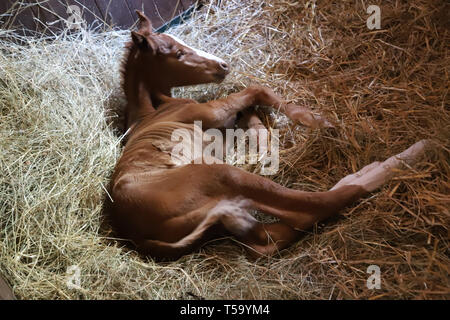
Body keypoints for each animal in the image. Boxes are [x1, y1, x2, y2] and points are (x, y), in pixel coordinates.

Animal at [103, 12, 428, 262]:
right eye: (177, 52)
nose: (223, 65)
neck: (152, 108)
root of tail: (139, 237)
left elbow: (248, 113)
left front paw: (264, 136)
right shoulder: (206, 113)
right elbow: (256, 89)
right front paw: (315, 120)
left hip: (226, 217)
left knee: (268, 239)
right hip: (220, 176)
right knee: (313, 207)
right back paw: (404, 157)